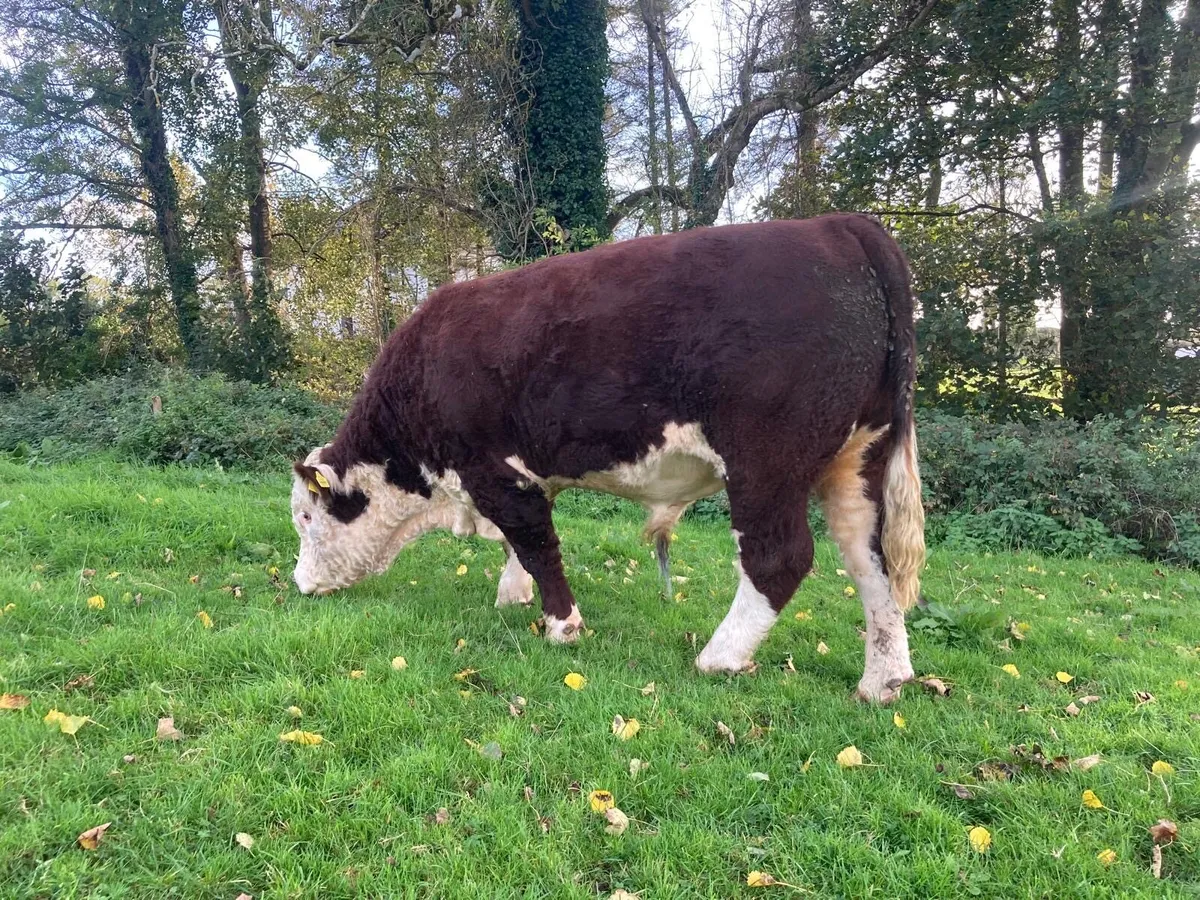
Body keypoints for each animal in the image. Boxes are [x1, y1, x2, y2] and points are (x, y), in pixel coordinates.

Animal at [290, 213, 925, 703]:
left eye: (304, 516)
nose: (298, 583)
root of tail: (841, 225)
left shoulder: (493, 472)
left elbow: (536, 545)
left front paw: (562, 626)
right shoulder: (529, 474)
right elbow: (521, 546)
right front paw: (513, 596)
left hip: (766, 460)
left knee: (780, 557)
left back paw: (719, 657)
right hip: (859, 459)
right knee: (872, 560)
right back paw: (884, 681)